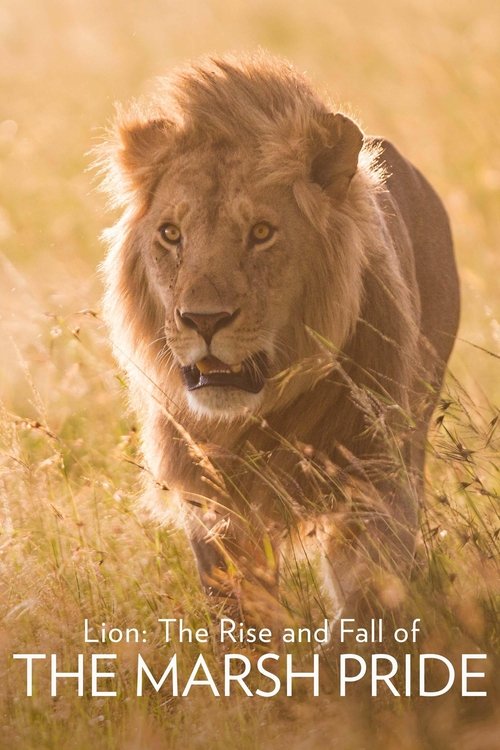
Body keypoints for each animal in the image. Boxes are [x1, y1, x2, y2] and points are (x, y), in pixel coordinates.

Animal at [99, 52, 459, 623]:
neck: (260, 417)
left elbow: (367, 595)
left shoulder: (377, 480)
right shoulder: (212, 505)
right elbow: (239, 611)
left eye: (262, 233)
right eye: (171, 234)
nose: (203, 320)